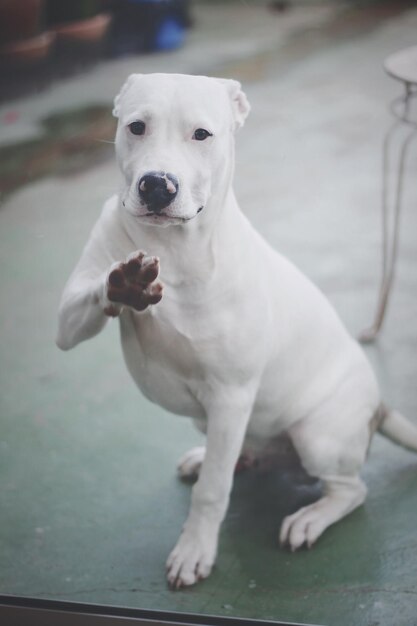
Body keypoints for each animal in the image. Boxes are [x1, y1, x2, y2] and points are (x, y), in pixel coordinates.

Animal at [56, 72, 416, 584]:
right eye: (136, 126)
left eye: (202, 134)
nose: (157, 185)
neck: (177, 248)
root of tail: (379, 406)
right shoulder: (67, 320)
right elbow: (92, 296)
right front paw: (125, 284)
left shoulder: (230, 393)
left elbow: (212, 492)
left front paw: (194, 551)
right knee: (233, 454)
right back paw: (214, 457)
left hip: (317, 436)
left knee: (350, 489)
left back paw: (310, 518)